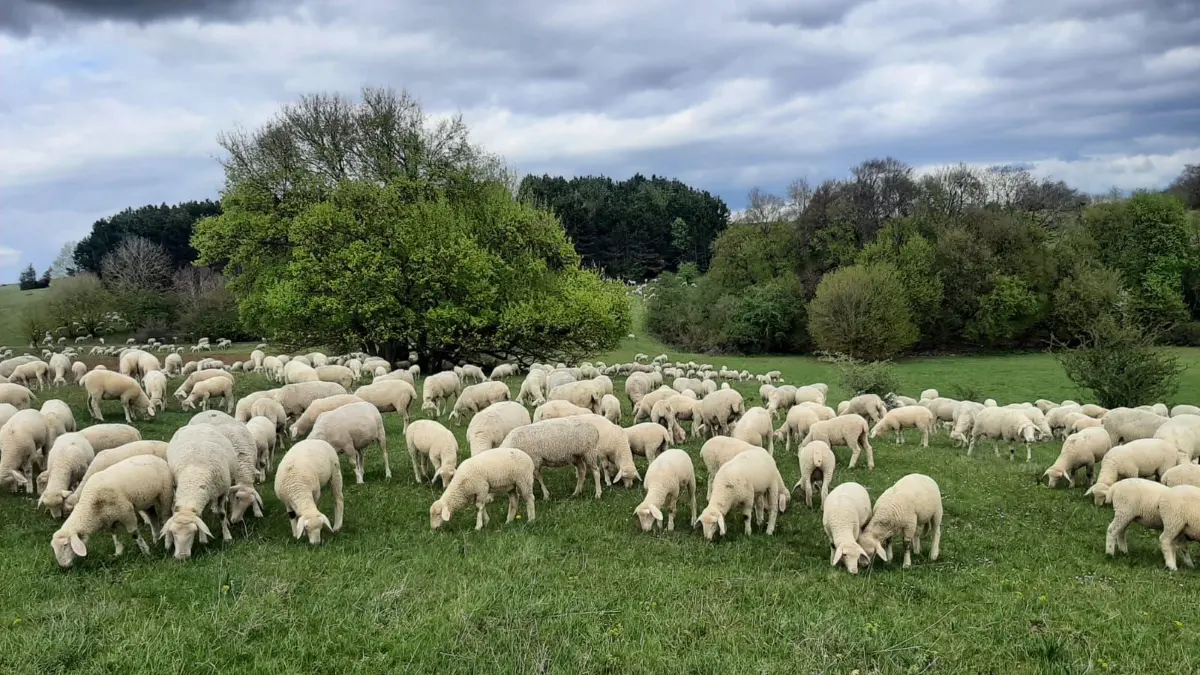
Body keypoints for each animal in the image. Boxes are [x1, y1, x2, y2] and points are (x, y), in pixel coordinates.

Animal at [161, 425, 240, 559]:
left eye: (192, 532)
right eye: (173, 532)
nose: (182, 557)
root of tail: (196, 425)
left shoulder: (222, 492)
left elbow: (222, 514)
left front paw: (227, 536)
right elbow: (200, 516)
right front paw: (204, 539)